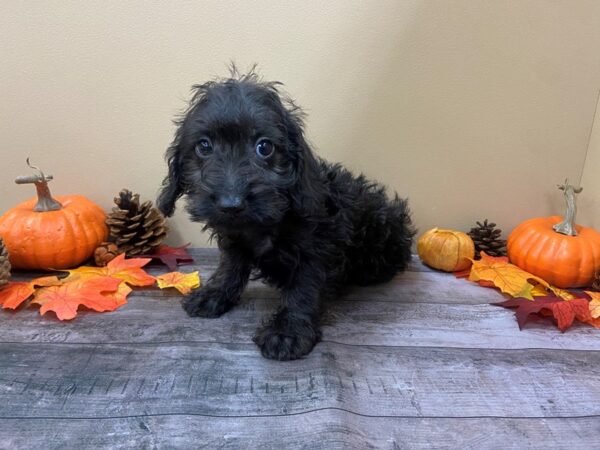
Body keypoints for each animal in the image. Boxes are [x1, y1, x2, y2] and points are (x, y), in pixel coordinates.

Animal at [157, 68, 414, 360]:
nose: (231, 204)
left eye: (264, 147)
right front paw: (214, 294)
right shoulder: (234, 239)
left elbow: (303, 288)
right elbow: (229, 267)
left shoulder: (316, 249)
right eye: (204, 146)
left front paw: (288, 331)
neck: (265, 225)